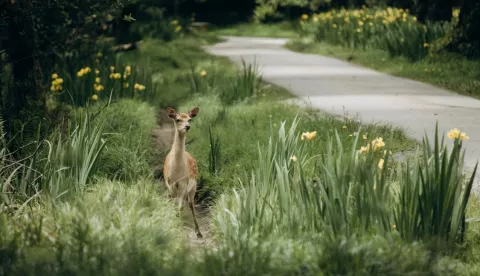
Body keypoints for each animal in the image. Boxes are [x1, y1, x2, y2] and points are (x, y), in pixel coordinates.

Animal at [163, 106, 202, 238]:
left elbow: (179, 207)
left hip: (193, 186)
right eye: (178, 119)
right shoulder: (170, 184)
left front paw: (178, 227)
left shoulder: (184, 184)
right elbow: (174, 206)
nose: (187, 126)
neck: (177, 172)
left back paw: (198, 232)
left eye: (189, 119)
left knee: (191, 204)